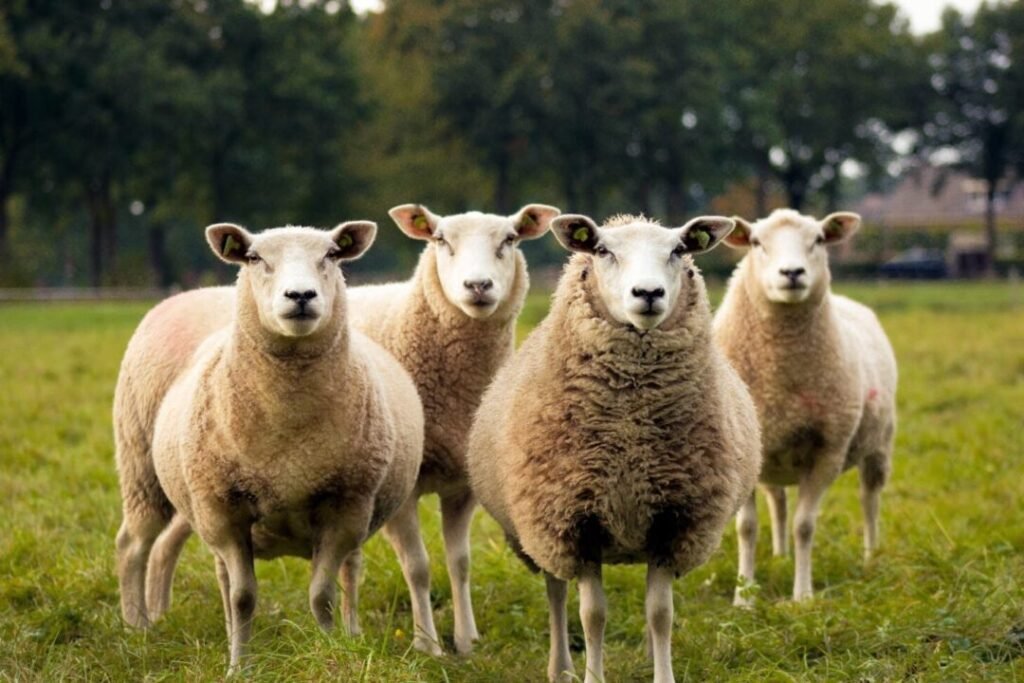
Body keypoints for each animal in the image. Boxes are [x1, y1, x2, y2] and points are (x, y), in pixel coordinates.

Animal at [117, 221, 424, 671]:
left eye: (332, 254)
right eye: (254, 257)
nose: (300, 296)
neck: (288, 432)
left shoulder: (346, 507)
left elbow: (322, 595)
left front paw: (332, 651)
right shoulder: (224, 510)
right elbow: (243, 597)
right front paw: (238, 667)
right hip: (142, 469)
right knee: (134, 545)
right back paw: (137, 628)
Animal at [344, 203, 560, 655]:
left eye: (510, 239)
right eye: (441, 240)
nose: (477, 285)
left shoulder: (463, 485)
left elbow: (459, 563)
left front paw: (465, 640)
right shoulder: (404, 488)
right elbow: (418, 567)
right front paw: (427, 644)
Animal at [466, 213, 762, 683]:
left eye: (680, 250)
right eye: (603, 250)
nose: (648, 294)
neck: (630, 431)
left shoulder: (673, 521)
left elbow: (660, 613)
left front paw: (663, 674)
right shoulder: (575, 521)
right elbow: (592, 616)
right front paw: (592, 675)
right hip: (542, 532)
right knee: (556, 593)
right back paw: (561, 668)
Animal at [713, 208, 897, 603]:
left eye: (818, 240)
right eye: (756, 242)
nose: (792, 273)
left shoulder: (828, 452)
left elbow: (805, 526)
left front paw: (802, 596)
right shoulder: (741, 454)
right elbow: (747, 527)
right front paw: (744, 597)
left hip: (879, 445)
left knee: (869, 499)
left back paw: (871, 556)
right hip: (771, 457)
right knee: (778, 501)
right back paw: (780, 556)